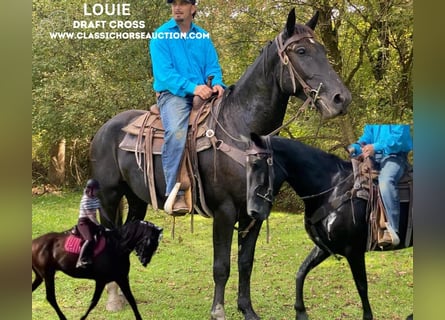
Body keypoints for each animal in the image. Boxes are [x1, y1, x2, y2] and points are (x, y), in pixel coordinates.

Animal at [32, 221, 163, 318]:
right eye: (152, 242)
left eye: (156, 244)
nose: (145, 261)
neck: (117, 246)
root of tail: (34, 243)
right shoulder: (101, 280)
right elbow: (93, 302)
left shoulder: (122, 278)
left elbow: (131, 300)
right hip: (48, 274)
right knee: (51, 297)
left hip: (40, 276)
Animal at [89, 8, 350, 318]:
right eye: (301, 51)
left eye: (321, 50)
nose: (341, 99)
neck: (242, 130)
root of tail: (104, 130)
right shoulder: (224, 212)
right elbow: (221, 266)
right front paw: (218, 310)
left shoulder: (254, 213)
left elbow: (245, 263)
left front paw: (247, 309)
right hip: (109, 197)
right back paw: (113, 299)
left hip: (136, 199)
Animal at [245, 133, 412, 320]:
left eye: (256, 164)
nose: (252, 211)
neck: (331, 189)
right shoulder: (324, 247)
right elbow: (301, 271)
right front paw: (301, 312)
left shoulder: (353, 251)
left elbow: (362, 286)